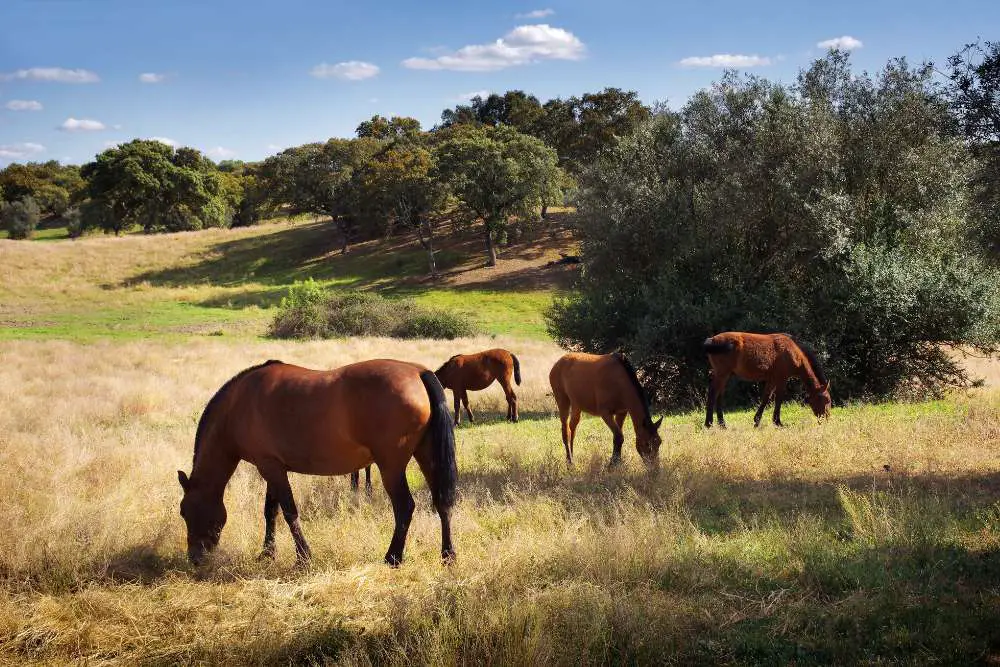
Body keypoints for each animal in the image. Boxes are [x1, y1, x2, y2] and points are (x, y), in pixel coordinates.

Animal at [178, 360, 458, 568]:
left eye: (185, 511)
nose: (195, 558)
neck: (238, 404)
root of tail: (419, 372)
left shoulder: (270, 467)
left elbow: (289, 512)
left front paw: (303, 557)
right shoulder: (272, 467)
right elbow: (271, 511)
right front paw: (267, 553)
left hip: (391, 466)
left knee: (404, 507)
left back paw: (393, 558)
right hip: (427, 456)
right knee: (442, 502)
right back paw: (448, 556)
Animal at [704, 332, 836, 428]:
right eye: (827, 400)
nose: (826, 419)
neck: (793, 350)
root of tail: (712, 340)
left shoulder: (772, 379)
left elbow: (766, 398)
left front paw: (756, 421)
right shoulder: (781, 379)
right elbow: (779, 399)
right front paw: (777, 422)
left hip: (724, 375)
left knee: (719, 395)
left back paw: (722, 424)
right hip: (722, 374)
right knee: (713, 394)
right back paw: (708, 424)